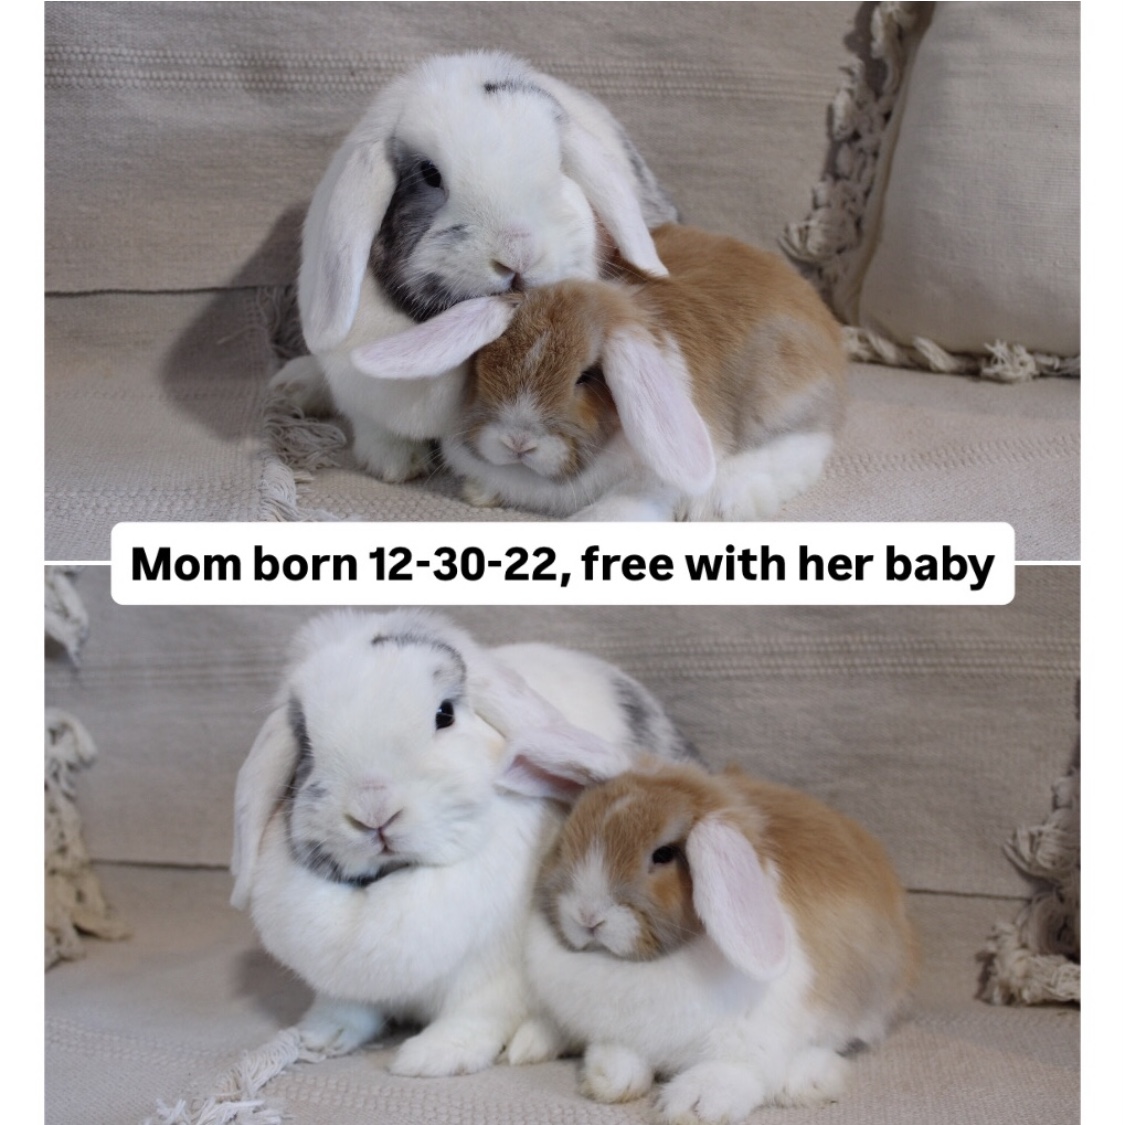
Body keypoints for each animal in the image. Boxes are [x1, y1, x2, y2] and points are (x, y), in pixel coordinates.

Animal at [230, 608, 696, 1079]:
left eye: (445, 714)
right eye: (304, 739)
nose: (373, 811)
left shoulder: (495, 975)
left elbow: (474, 1015)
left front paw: (431, 1057)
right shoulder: (348, 986)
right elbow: (347, 1009)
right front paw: (321, 1037)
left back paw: (531, 1044)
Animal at [350, 222, 847, 521]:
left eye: (587, 376)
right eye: (486, 358)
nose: (518, 441)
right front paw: (480, 492)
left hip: (777, 396)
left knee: (806, 444)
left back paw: (718, 500)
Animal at [510, 758, 918, 1122]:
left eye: (664, 854)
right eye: (567, 837)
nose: (587, 915)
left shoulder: (754, 1040)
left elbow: (737, 1070)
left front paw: (694, 1103)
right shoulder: (617, 1032)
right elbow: (617, 1053)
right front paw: (609, 1076)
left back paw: (807, 1079)